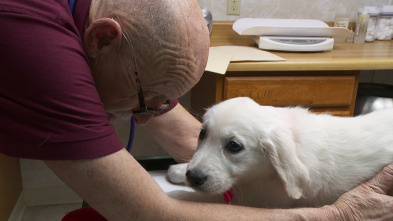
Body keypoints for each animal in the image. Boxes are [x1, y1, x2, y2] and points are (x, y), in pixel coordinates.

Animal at [167, 96, 392, 207]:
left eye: (234, 146)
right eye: (202, 134)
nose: (193, 176)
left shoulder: (257, 198)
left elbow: (206, 199)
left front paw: (176, 195)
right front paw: (178, 170)